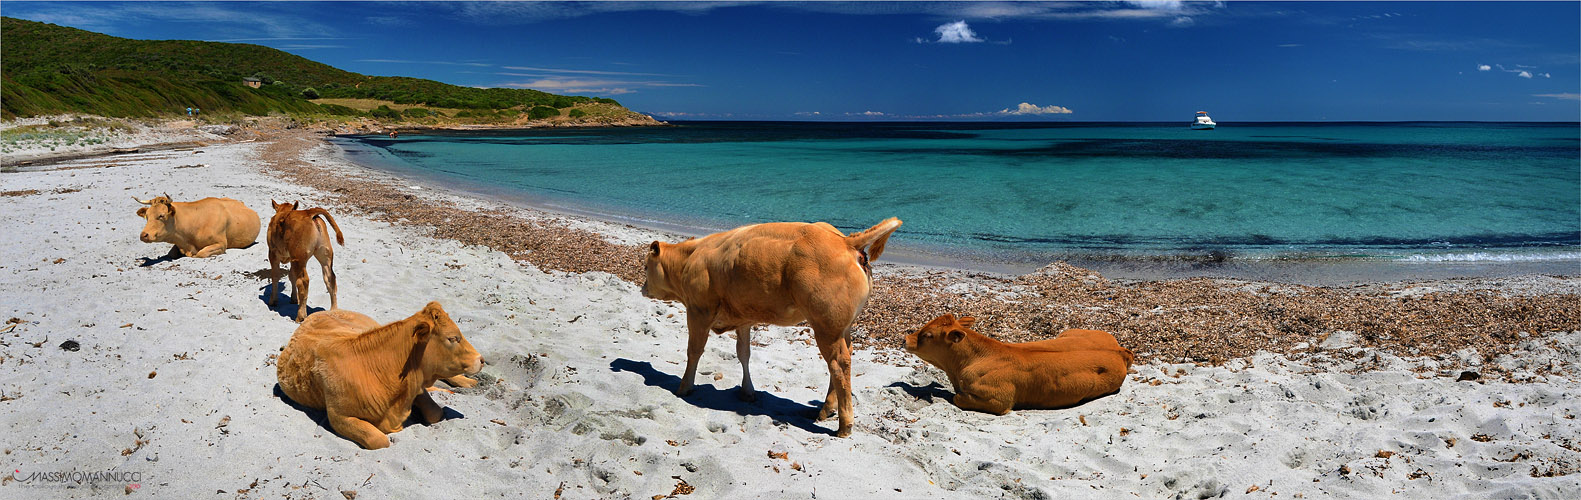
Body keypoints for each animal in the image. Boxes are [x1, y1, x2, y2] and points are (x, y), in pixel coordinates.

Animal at [275, 302, 480, 452]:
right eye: (453, 338)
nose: (481, 359)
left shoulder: (416, 385)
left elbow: (435, 412)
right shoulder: (338, 416)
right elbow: (379, 440)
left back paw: (469, 382)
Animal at [632, 216, 904, 436]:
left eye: (645, 266)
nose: (642, 288)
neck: (691, 258)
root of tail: (844, 241)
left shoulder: (698, 311)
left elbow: (694, 351)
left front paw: (684, 387)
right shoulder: (742, 318)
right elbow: (743, 354)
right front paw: (747, 392)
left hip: (826, 327)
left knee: (839, 364)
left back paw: (844, 425)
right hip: (841, 328)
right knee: (842, 360)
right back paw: (827, 409)